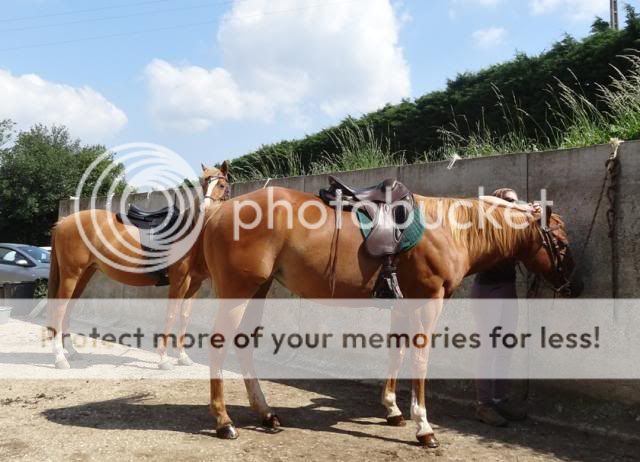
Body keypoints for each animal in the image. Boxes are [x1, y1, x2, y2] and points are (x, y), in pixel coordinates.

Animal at [48, 161, 232, 370]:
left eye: (222, 185)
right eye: (204, 183)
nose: (205, 209)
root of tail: (64, 222)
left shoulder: (194, 285)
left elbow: (184, 317)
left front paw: (183, 357)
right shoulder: (179, 282)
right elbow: (171, 315)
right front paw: (163, 359)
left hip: (83, 275)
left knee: (67, 309)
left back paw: (71, 352)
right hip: (71, 275)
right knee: (60, 309)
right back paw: (60, 358)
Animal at [200, 187, 580, 448]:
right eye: (560, 242)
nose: (573, 285)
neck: (448, 230)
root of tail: (218, 211)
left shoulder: (402, 304)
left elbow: (396, 352)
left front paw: (392, 410)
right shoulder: (428, 302)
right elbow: (420, 360)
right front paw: (423, 427)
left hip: (259, 289)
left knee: (243, 343)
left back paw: (265, 414)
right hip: (239, 291)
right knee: (219, 344)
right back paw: (223, 421)